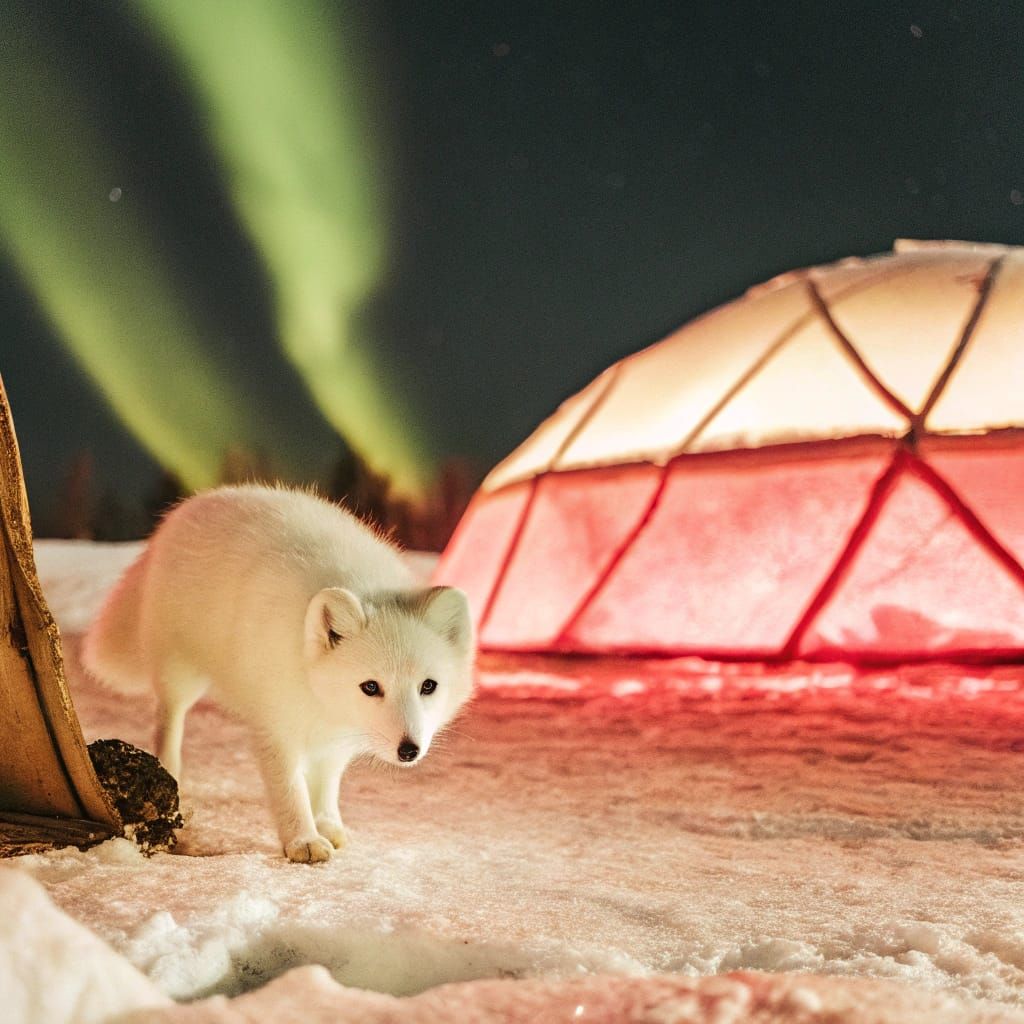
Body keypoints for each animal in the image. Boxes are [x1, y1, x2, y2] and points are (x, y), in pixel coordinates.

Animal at [82, 484, 475, 863]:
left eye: (428, 686)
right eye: (371, 686)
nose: (409, 750)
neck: (314, 689)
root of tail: (187, 507)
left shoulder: (337, 736)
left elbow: (327, 782)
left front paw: (326, 822)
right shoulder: (275, 726)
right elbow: (289, 789)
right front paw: (303, 841)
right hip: (180, 674)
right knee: (168, 721)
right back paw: (170, 772)